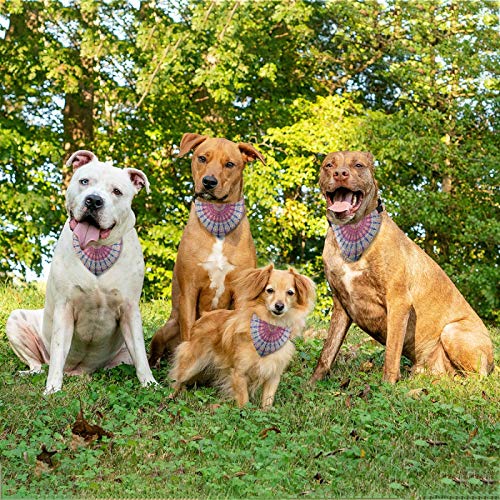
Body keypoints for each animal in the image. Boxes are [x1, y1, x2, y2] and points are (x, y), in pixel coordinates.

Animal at [6, 150, 156, 392]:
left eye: (117, 191)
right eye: (84, 181)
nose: (94, 200)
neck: (96, 251)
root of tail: (80, 371)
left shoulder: (130, 309)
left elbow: (141, 354)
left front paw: (151, 384)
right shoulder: (65, 308)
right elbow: (59, 350)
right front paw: (52, 389)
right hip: (16, 320)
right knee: (38, 363)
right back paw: (31, 372)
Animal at [148, 133, 266, 368]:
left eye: (230, 164)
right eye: (202, 158)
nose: (209, 182)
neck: (218, 217)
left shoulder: (241, 293)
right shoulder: (189, 291)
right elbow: (188, 332)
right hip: (167, 327)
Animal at [170, 264, 314, 408]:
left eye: (290, 293)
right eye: (270, 290)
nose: (279, 306)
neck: (270, 328)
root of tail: (205, 315)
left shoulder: (273, 375)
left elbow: (267, 401)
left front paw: (265, 411)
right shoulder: (239, 373)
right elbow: (244, 401)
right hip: (192, 364)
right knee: (176, 377)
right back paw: (171, 395)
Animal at [310, 149, 494, 382]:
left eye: (358, 165)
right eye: (329, 165)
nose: (340, 173)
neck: (353, 231)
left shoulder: (399, 302)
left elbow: (391, 352)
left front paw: (387, 384)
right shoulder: (341, 304)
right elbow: (327, 352)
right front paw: (311, 384)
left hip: (452, 330)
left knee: (477, 377)